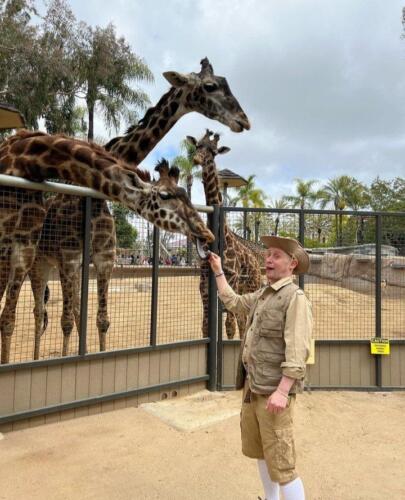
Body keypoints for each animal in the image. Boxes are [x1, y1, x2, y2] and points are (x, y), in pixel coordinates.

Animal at [31, 55, 251, 356]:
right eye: (210, 86)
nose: (244, 120)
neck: (92, 197)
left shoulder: (104, 260)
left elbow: (101, 320)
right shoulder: (69, 257)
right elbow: (65, 321)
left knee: (71, 311)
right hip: (39, 263)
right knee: (38, 313)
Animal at [187, 130, 262, 340]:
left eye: (214, 152)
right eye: (197, 145)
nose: (196, 159)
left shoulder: (232, 280)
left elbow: (229, 326)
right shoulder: (204, 284)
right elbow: (206, 327)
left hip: (252, 285)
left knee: (242, 320)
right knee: (243, 320)